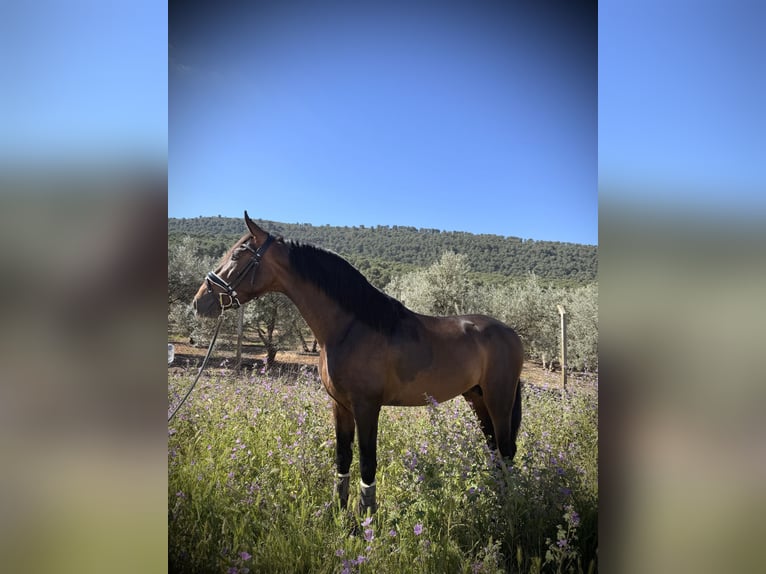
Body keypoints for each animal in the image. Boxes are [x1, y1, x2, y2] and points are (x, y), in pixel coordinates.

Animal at [193, 212, 524, 515]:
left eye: (238, 254)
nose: (200, 301)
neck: (349, 327)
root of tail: (511, 334)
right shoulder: (340, 405)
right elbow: (343, 458)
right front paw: (339, 512)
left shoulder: (367, 406)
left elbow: (367, 462)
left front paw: (367, 521)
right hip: (476, 398)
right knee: (494, 449)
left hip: (499, 398)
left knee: (505, 449)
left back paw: (508, 508)